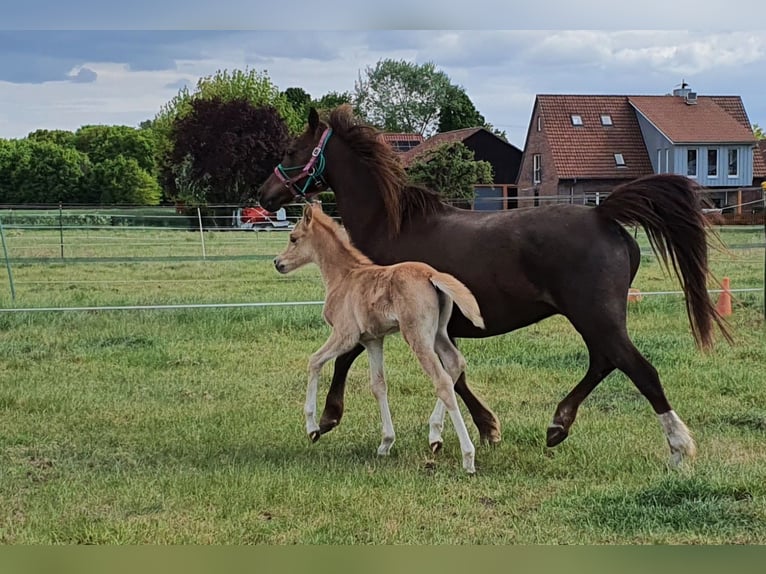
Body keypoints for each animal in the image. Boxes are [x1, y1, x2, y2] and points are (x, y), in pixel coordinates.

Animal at [274, 203, 486, 473]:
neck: (344, 276)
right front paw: (386, 443)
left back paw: (468, 457)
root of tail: (431, 276)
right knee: (455, 363)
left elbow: (314, 361)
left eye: (293, 238)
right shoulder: (372, 340)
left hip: (417, 336)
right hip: (438, 334)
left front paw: (312, 429)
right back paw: (435, 436)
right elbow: (378, 385)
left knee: (442, 382)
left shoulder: (345, 335)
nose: (278, 262)